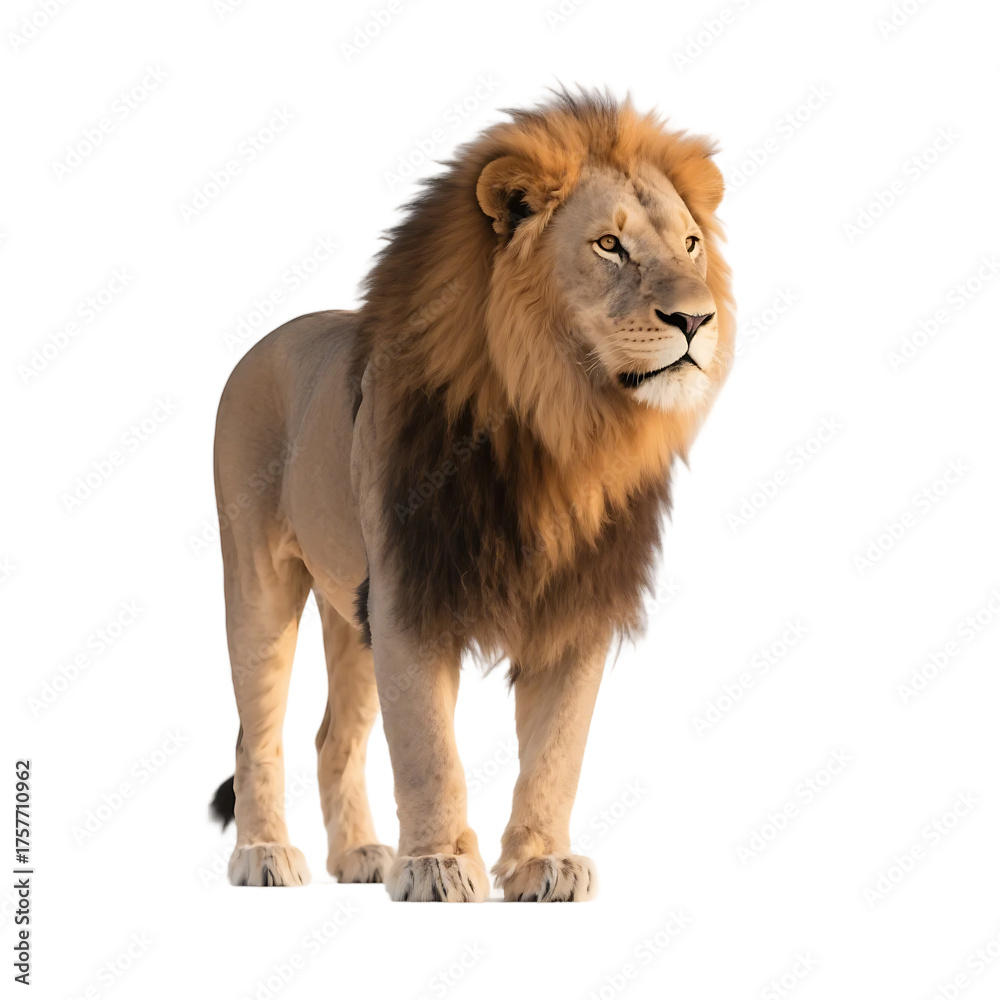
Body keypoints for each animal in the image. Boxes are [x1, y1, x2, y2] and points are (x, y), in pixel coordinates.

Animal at [209, 89, 734, 901]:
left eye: (689, 244)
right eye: (608, 246)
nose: (696, 319)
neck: (560, 430)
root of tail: (262, 343)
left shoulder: (577, 603)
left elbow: (557, 751)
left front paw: (544, 863)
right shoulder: (410, 592)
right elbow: (428, 748)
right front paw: (436, 864)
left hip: (348, 607)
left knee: (334, 736)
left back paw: (360, 856)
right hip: (258, 576)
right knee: (257, 731)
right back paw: (265, 855)